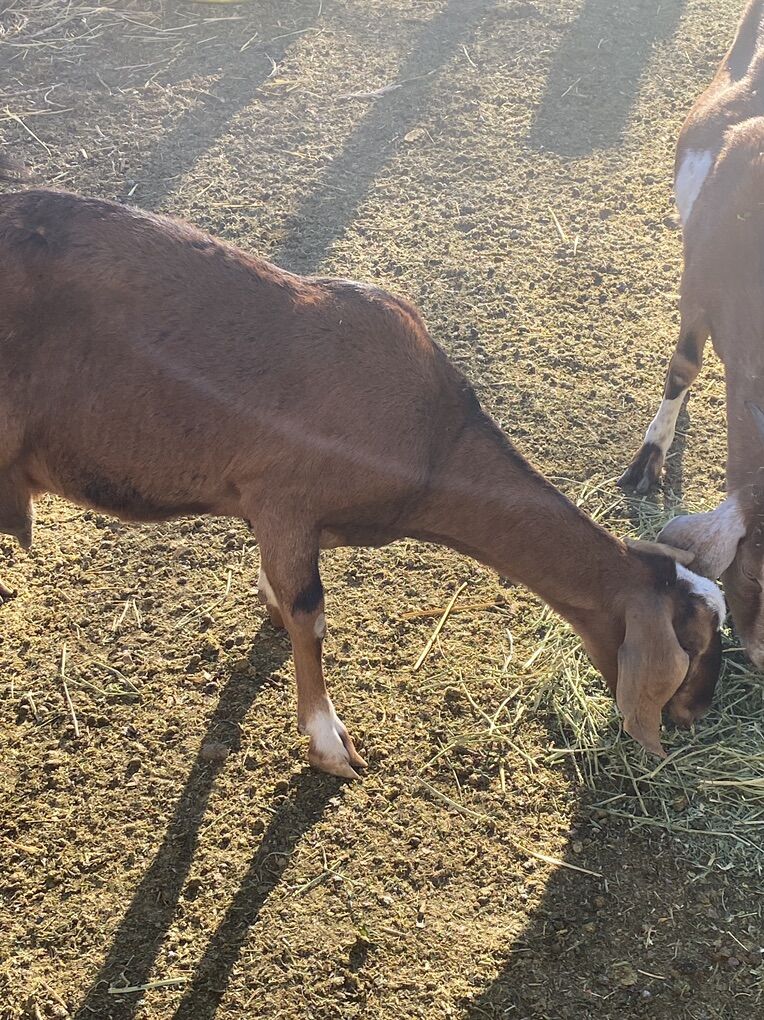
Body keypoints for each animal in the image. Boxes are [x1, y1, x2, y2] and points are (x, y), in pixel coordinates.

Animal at [0, 166, 724, 777]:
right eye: (694, 644)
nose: (695, 716)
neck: (435, 442)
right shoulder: (285, 496)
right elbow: (310, 614)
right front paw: (328, 744)